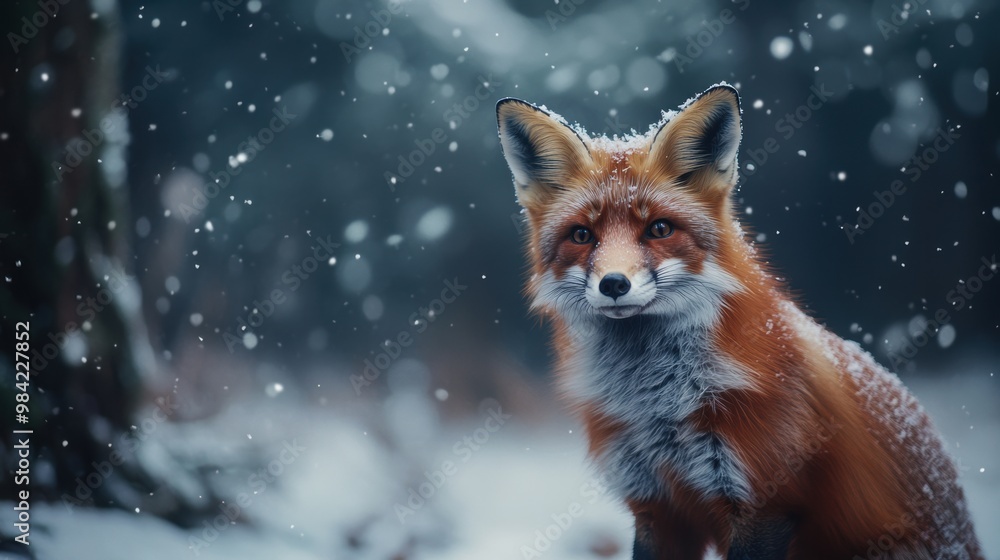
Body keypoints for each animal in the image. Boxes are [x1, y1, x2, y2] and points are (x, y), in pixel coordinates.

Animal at [495, 84, 982, 559]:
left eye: (658, 229)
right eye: (582, 235)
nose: (614, 283)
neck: (657, 405)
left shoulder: (765, 502)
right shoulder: (656, 508)